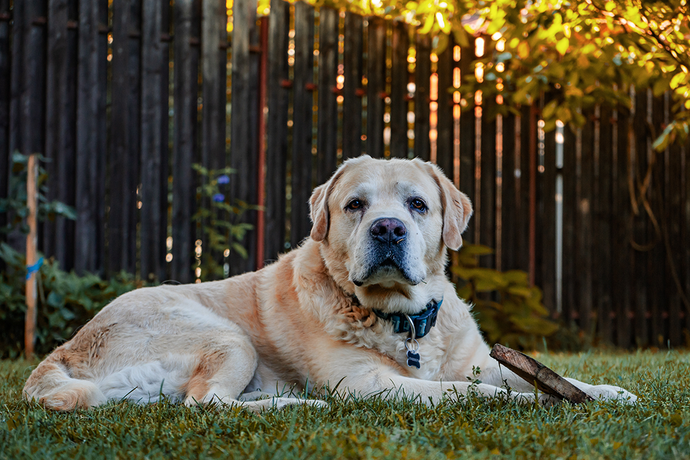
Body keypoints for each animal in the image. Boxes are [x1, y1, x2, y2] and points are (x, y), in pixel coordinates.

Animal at [22, 156, 636, 412]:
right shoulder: (366, 383)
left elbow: (543, 378)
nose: (388, 228)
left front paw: (608, 393)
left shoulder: (476, 359)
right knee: (204, 404)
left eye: (417, 205)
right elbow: (475, 392)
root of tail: (65, 347)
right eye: (355, 205)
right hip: (224, 336)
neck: (405, 320)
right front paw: (513, 400)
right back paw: (300, 407)